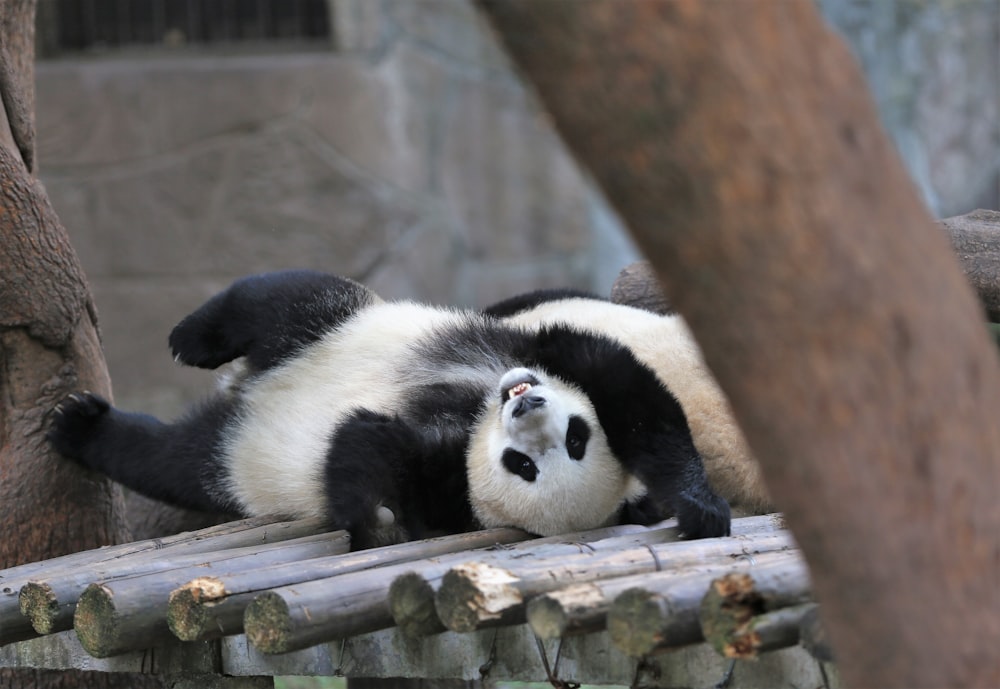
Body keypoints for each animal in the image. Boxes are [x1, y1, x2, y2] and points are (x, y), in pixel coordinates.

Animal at [47, 268, 732, 548]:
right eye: (578, 435)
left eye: (529, 467)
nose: (527, 402)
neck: (472, 414)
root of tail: (249, 392)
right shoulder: (540, 343)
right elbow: (633, 397)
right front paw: (699, 506)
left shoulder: (443, 488)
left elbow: (367, 449)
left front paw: (368, 516)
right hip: (336, 324)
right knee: (280, 300)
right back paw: (190, 340)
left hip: (232, 457)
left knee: (171, 461)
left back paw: (84, 429)